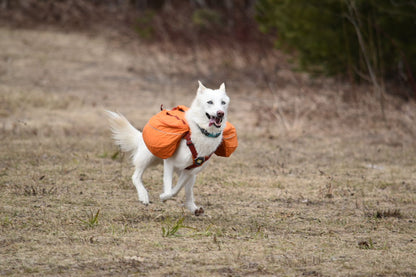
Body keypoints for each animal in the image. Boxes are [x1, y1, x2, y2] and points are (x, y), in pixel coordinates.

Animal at [105, 81, 232, 215]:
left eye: (223, 102)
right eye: (210, 102)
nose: (220, 113)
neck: (202, 131)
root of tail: (141, 136)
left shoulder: (190, 171)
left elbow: (176, 190)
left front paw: (166, 197)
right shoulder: (169, 162)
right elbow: (169, 188)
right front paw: (163, 197)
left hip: (190, 176)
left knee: (188, 193)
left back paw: (193, 208)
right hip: (148, 157)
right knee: (136, 176)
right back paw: (143, 195)